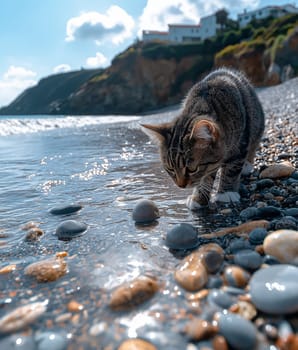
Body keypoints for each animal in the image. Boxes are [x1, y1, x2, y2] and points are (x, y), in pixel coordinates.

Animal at [142, 69, 266, 211]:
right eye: (170, 169)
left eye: (192, 169)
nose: (181, 186)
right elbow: (206, 177)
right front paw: (199, 197)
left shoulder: (241, 141)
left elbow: (232, 167)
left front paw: (226, 192)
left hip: (256, 122)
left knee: (254, 143)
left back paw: (246, 164)